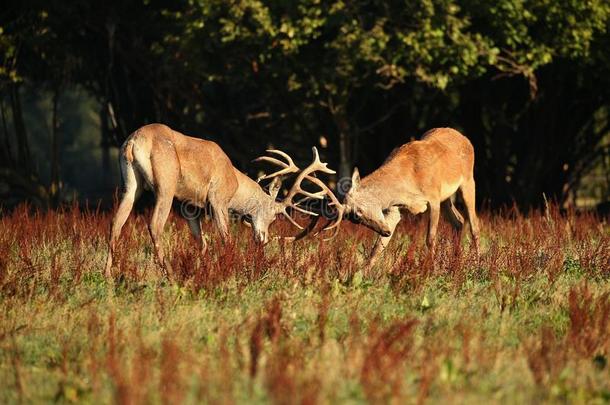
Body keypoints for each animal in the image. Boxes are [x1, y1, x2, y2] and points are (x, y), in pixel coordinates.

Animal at [316, 128, 478, 270]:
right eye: (355, 220)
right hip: (446, 197)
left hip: (468, 180)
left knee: (474, 224)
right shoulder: (394, 209)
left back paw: (477, 264)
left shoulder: (433, 197)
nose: (385, 231)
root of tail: (465, 138)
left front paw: (430, 270)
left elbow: (430, 238)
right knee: (459, 220)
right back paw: (456, 261)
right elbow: (379, 245)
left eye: (359, 212)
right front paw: (363, 273)